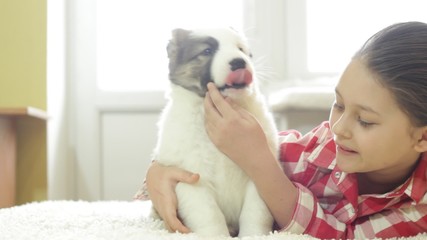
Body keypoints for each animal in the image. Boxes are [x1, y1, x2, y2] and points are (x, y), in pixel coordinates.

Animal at [152, 27, 280, 236]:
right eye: (207, 51)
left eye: (241, 49)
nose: (239, 62)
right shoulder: (194, 181)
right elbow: (210, 216)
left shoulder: (260, 175)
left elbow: (255, 214)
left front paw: (254, 235)